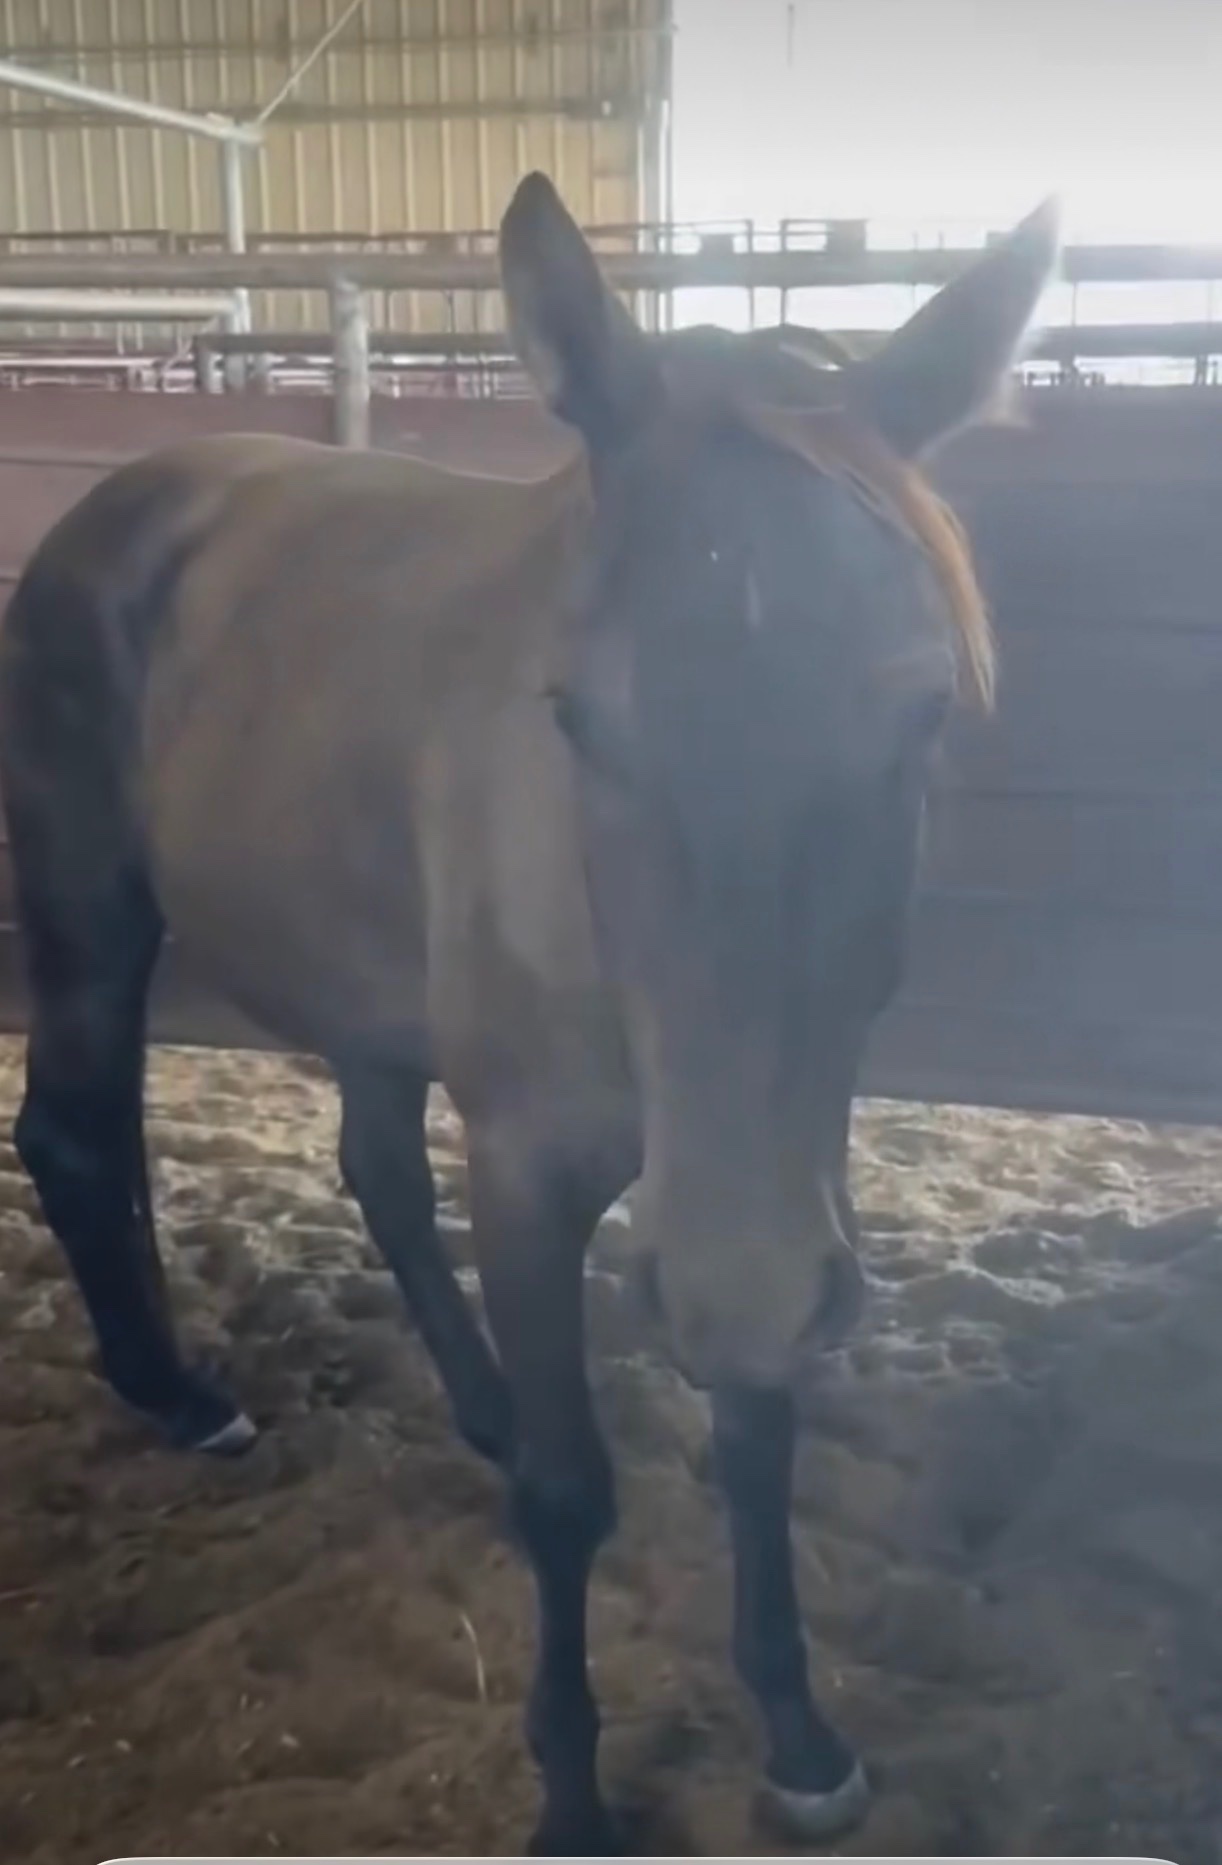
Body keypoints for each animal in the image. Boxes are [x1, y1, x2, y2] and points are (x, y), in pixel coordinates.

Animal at [0, 173, 1057, 1854]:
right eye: (574, 715)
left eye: (923, 709)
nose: (739, 1284)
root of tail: (131, 497)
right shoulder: (538, 1169)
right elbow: (571, 1494)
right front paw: (571, 1791)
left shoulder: (764, 1189)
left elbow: (755, 1434)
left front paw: (798, 1732)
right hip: (90, 912)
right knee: (79, 1133)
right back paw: (183, 1396)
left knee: (371, 1168)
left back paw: (471, 1393)